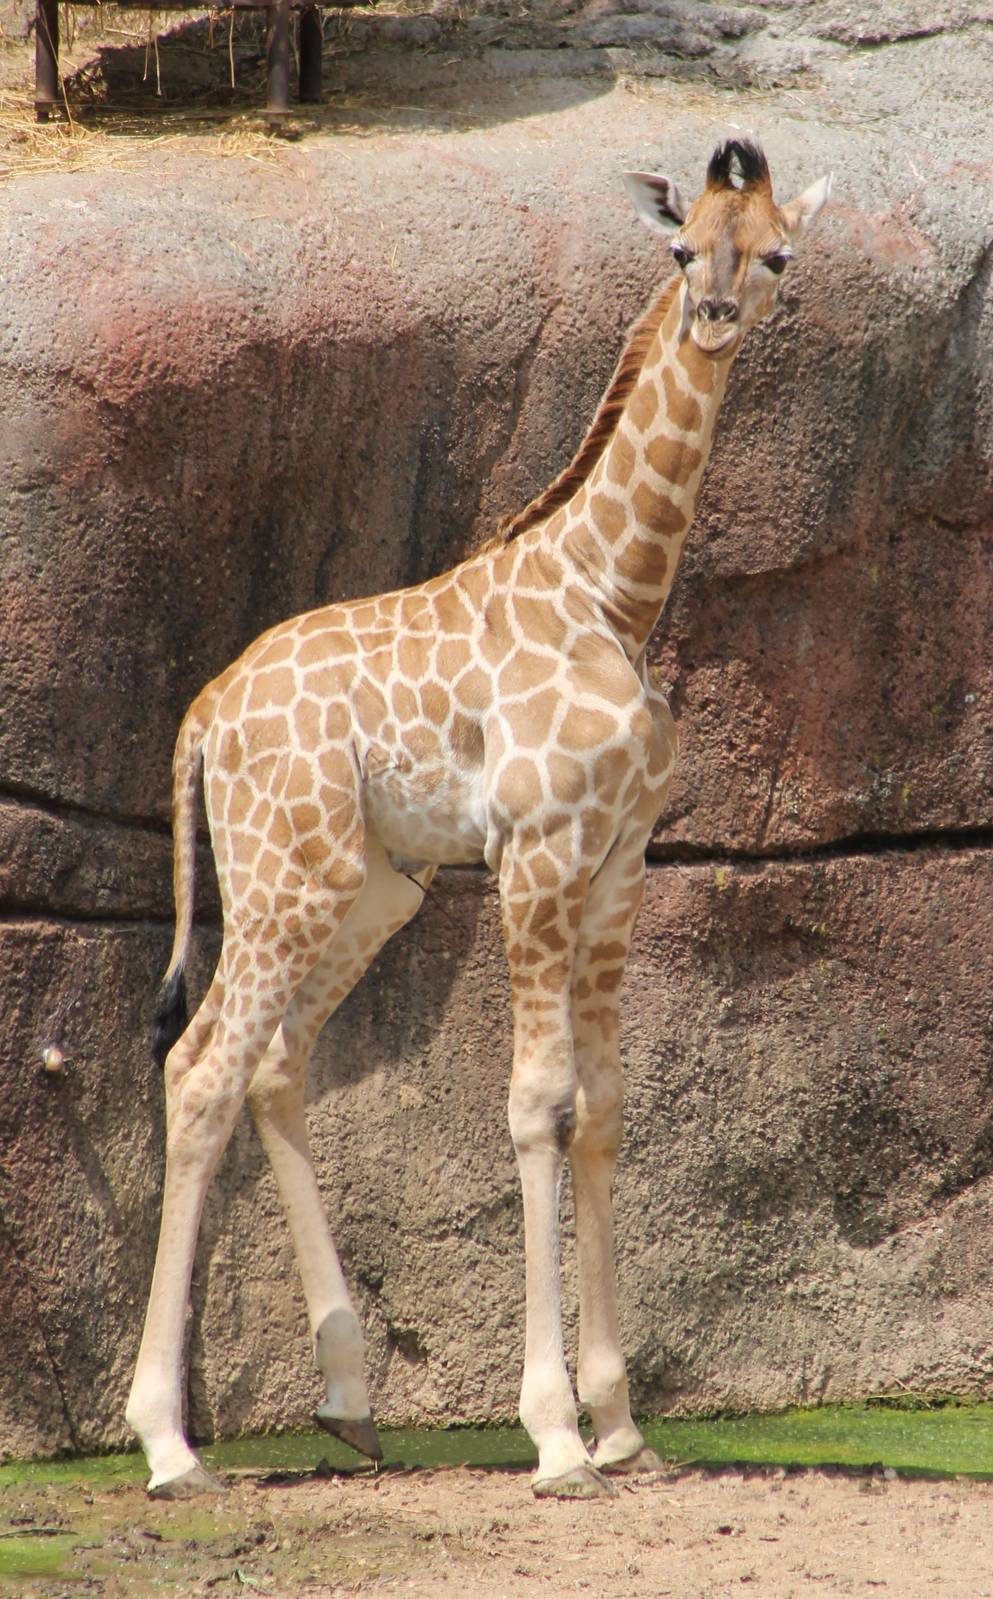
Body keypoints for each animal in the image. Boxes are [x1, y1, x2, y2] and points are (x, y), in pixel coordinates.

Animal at [126, 138, 831, 1501]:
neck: (613, 592)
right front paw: (556, 1436)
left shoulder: (619, 864)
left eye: (773, 252)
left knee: (274, 1062)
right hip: (285, 876)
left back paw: (350, 1401)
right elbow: (534, 1104)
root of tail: (204, 714)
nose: (716, 318)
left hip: (371, 885)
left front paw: (622, 1423)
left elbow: (604, 1107)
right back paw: (170, 1445)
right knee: (202, 1067)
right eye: (682, 250)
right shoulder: (536, 854)